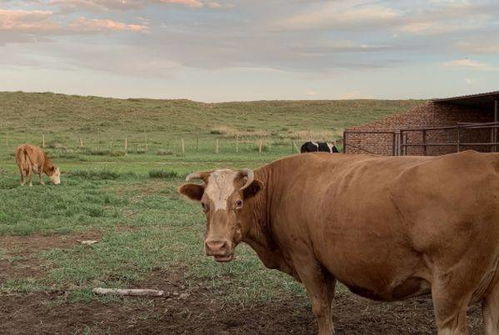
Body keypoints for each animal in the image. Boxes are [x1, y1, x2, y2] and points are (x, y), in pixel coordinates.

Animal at [180, 152, 499, 335]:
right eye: (204, 205)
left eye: (238, 202)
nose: (216, 245)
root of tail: (485, 158)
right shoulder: (327, 264)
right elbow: (329, 306)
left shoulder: (306, 259)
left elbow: (320, 308)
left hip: (450, 289)